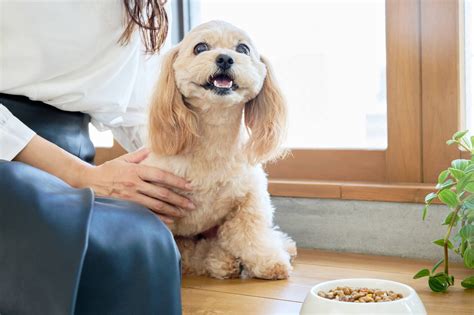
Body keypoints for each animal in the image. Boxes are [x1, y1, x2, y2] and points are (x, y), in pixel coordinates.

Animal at [142, 21, 296, 280]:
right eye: (200, 47)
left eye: (243, 49)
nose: (224, 58)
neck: (215, 141)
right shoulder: (162, 205)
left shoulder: (249, 199)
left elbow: (251, 234)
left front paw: (269, 261)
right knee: (193, 253)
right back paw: (222, 261)